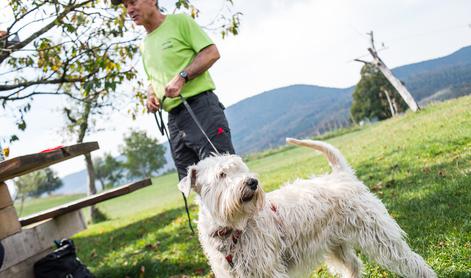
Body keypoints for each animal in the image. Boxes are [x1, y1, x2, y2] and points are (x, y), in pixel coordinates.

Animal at [179, 139, 436, 278]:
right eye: (222, 174)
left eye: (242, 168)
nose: (252, 182)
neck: (231, 228)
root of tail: (342, 174)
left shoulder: (266, 269)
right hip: (336, 245)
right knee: (353, 265)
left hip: (379, 235)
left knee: (410, 260)